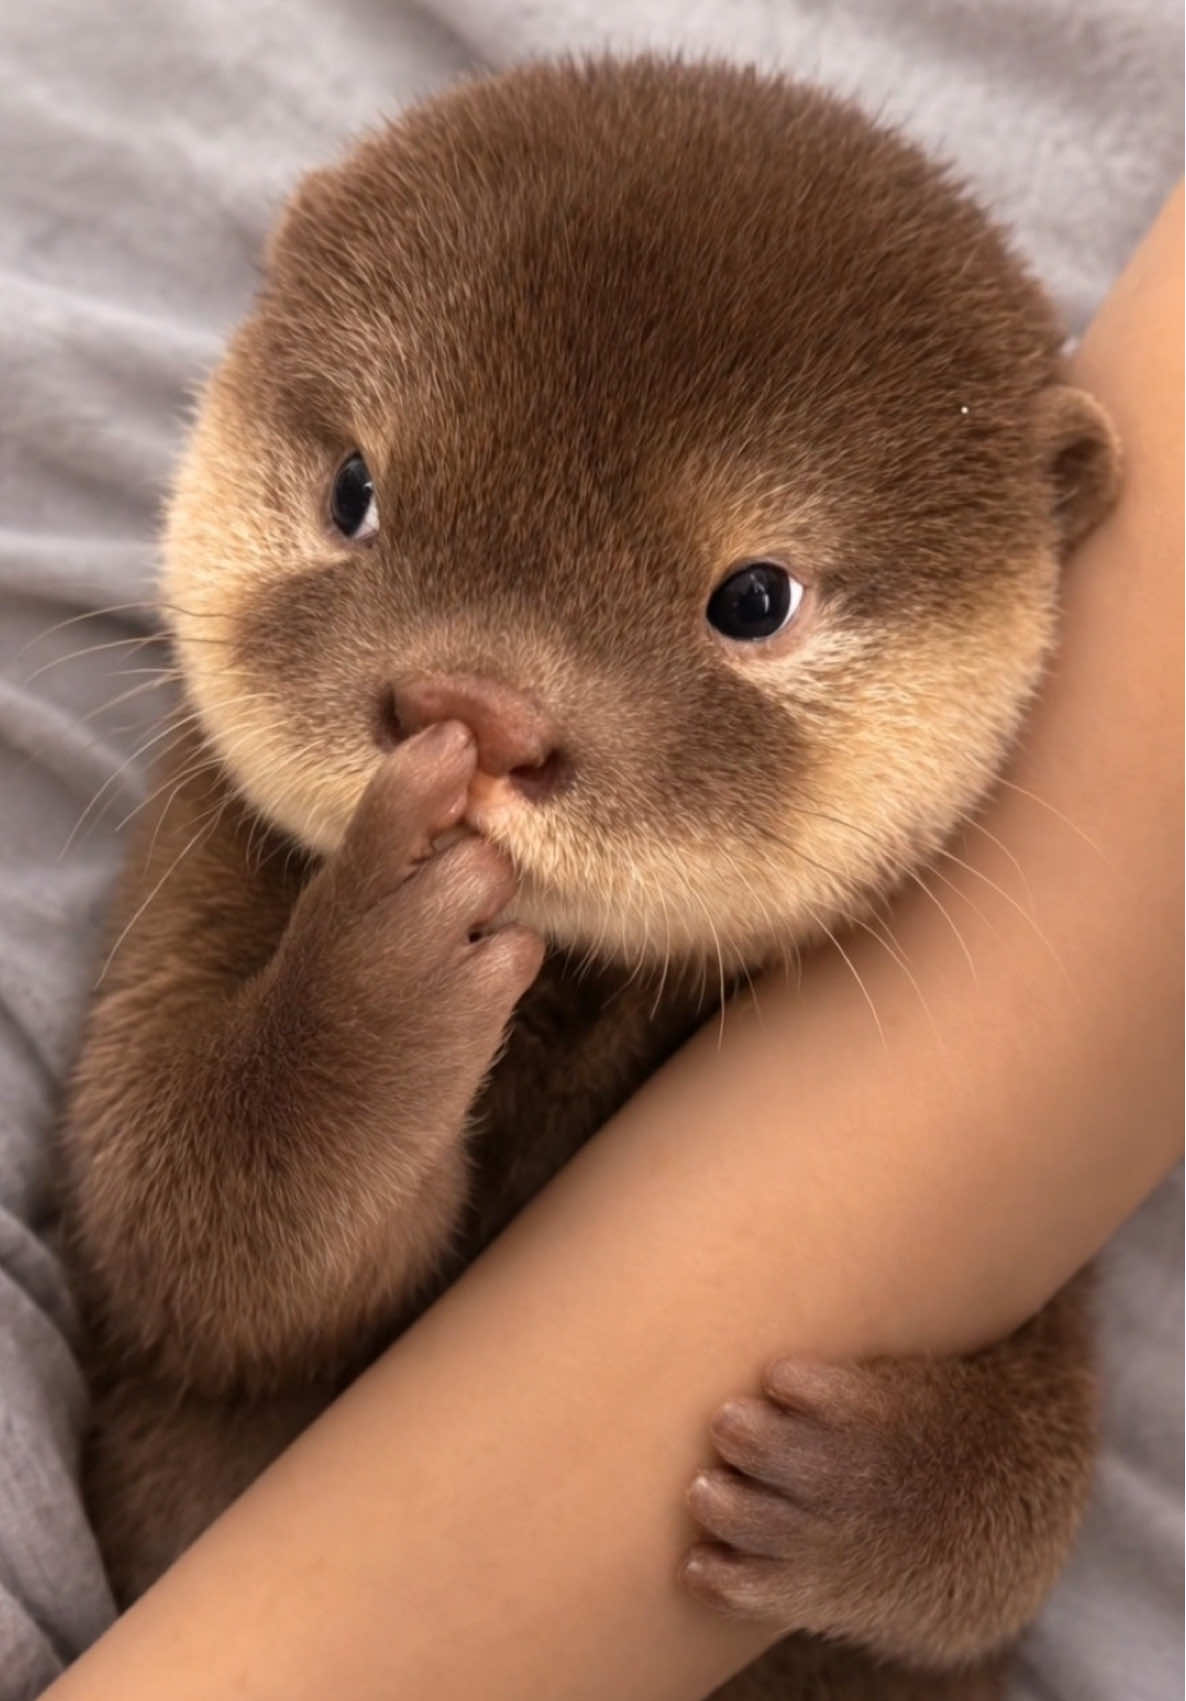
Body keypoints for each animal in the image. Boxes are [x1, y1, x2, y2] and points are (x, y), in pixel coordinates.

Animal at [59, 55, 1119, 1699]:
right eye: (356, 489)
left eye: (754, 597)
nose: (475, 707)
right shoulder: (191, 873)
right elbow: (181, 1230)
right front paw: (381, 973)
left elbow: (1032, 1502)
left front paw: (854, 1484)